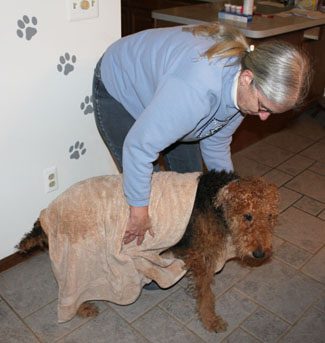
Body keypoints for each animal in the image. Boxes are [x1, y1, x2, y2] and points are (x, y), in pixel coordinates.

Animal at [17, 171, 278, 334]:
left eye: (270, 216)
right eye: (248, 216)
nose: (260, 254)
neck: (214, 199)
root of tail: (47, 212)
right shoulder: (198, 256)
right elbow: (206, 294)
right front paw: (211, 321)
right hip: (79, 256)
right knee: (71, 289)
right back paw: (83, 308)